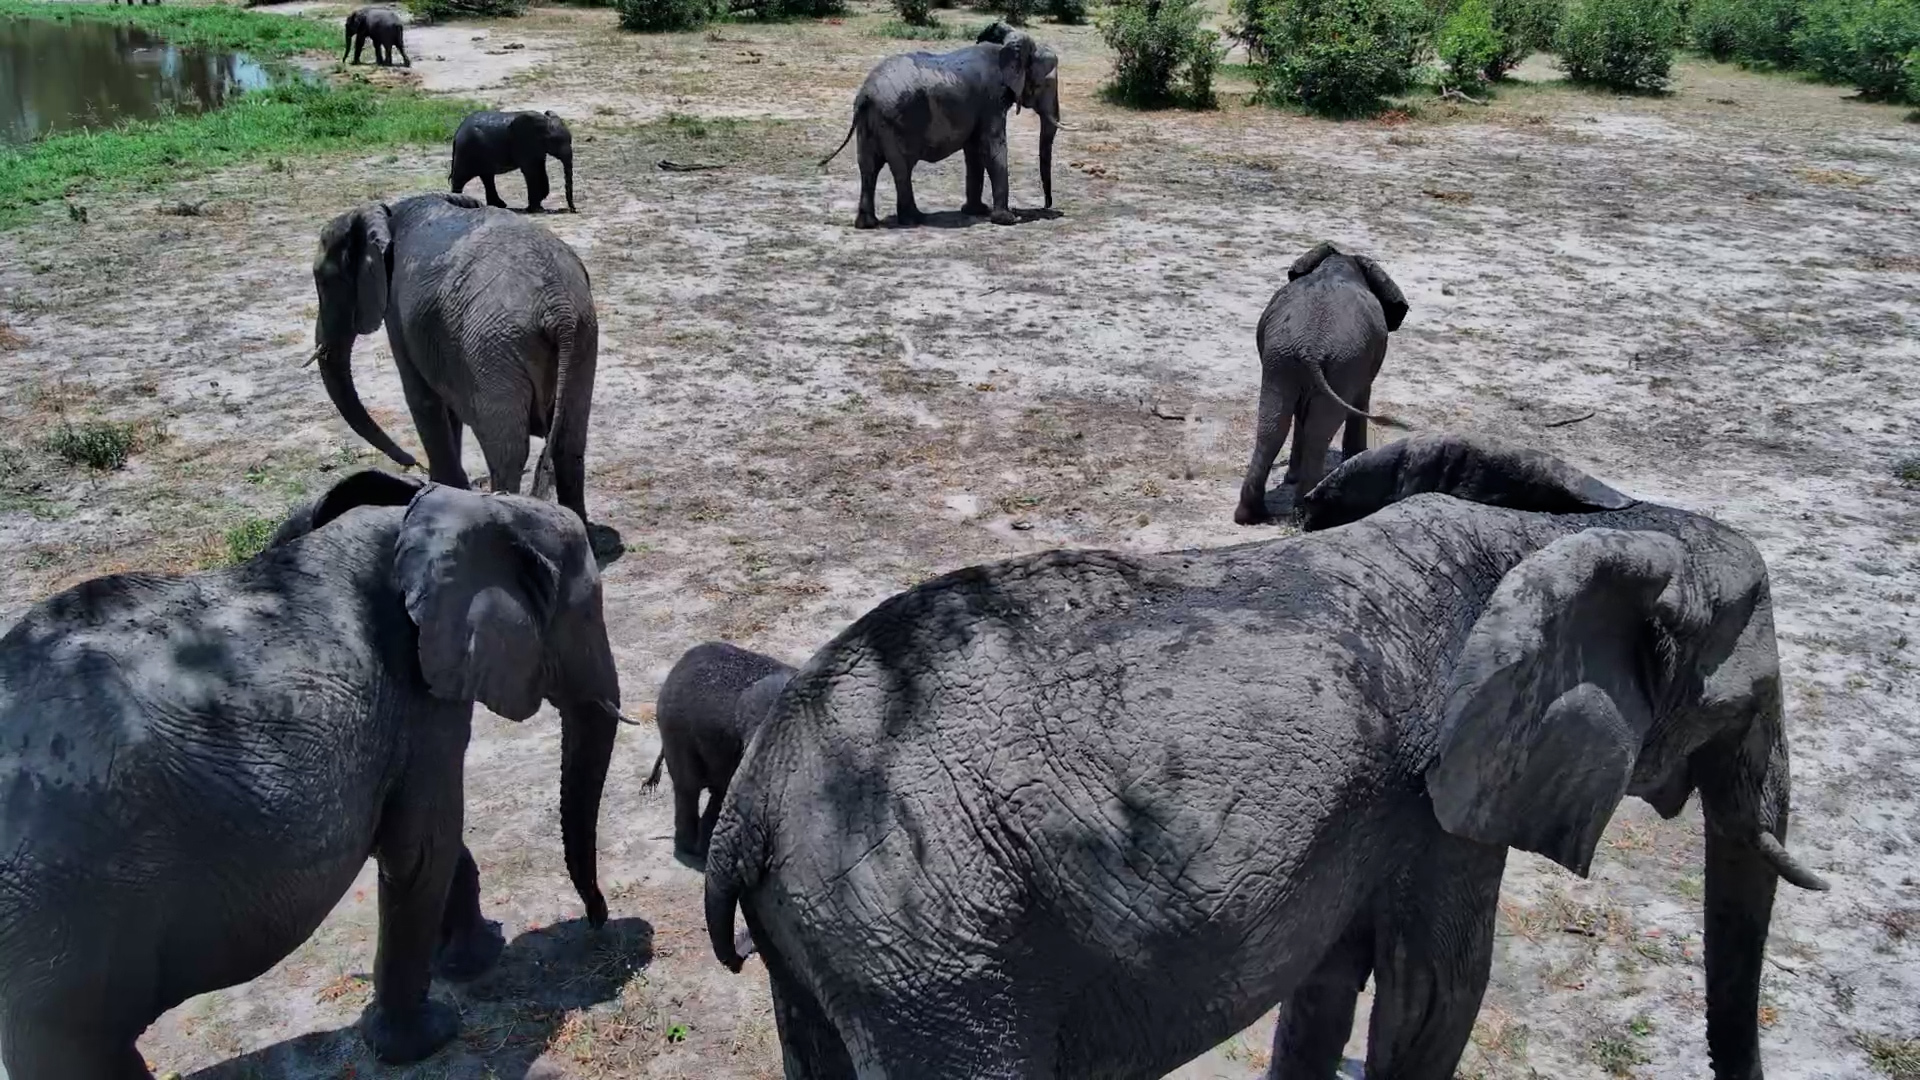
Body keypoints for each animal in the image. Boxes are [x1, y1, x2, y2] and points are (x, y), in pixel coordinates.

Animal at [0, 470, 628, 1076]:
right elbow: (424, 847)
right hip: (61, 917)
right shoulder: (418, 691)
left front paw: (473, 957)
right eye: (587, 611)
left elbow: (421, 838)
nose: (597, 921)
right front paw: (430, 1034)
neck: (457, 507)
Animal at [310, 191, 602, 539]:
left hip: (494, 349)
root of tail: (558, 309)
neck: (384, 212)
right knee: (570, 442)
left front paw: (439, 490)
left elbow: (421, 398)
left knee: (508, 450)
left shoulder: (397, 310)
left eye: (322, 280)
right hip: (582, 338)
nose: (410, 462)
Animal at [704, 432, 1828, 1080]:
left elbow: (1328, 986)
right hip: (934, 952)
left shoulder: (1362, 819)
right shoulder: (1445, 806)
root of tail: (749, 803)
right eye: (1749, 697)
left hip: (846, 948)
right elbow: (1435, 999)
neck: (1581, 529)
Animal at [819, 29, 1061, 229]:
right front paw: (1007, 219)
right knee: (902, 167)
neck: (1005, 48)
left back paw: (868, 224)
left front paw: (976, 211)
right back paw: (915, 219)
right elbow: (993, 148)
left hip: (870, 123)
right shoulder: (991, 101)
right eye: (1045, 84)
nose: (1047, 205)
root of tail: (866, 95)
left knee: (869, 167)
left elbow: (974, 152)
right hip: (897, 120)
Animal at [1236, 242, 1410, 526]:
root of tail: (1310, 346)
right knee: (1320, 432)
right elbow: (1361, 398)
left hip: (1282, 360)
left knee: (1272, 426)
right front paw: (1356, 456)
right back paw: (1306, 513)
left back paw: (1251, 514)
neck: (1340, 263)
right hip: (1341, 362)